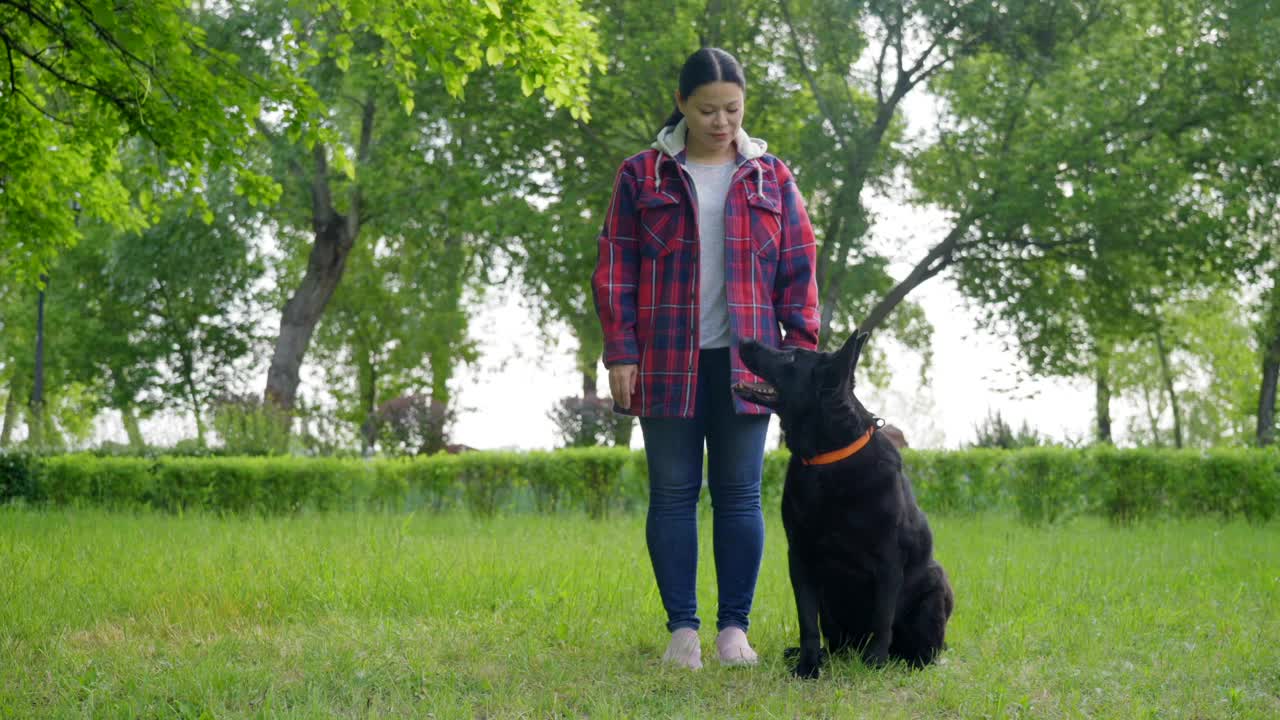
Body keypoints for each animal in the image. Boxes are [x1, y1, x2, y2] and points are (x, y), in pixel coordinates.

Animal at [732, 327, 952, 676]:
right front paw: (807, 667)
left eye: (791, 356)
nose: (743, 340)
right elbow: (807, 622)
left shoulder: (888, 561)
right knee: (835, 642)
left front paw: (874, 665)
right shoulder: (800, 557)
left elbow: (882, 619)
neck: (828, 459)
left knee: (923, 647)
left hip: (936, 583)